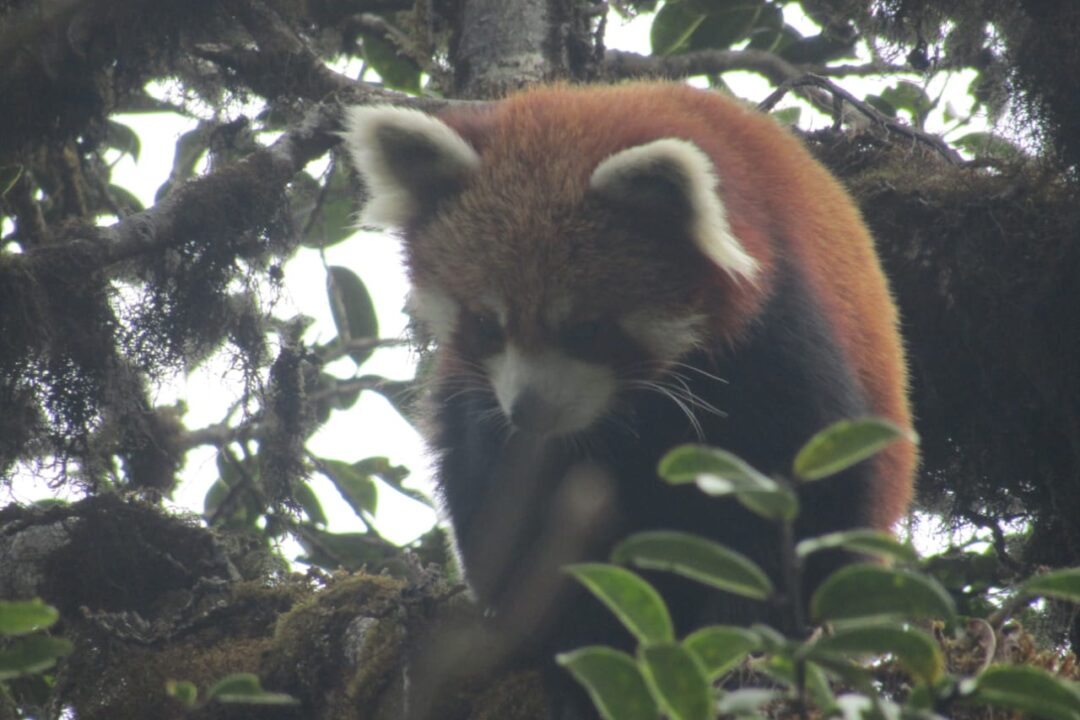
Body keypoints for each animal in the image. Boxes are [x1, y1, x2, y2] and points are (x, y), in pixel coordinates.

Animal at [341, 83, 915, 708]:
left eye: (587, 330)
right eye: (488, 325)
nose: (530, 410)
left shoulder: (777, 342)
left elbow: (808, 509)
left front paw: (751, 647)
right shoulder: (491, 415)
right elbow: (504, 509)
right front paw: (571, 643)